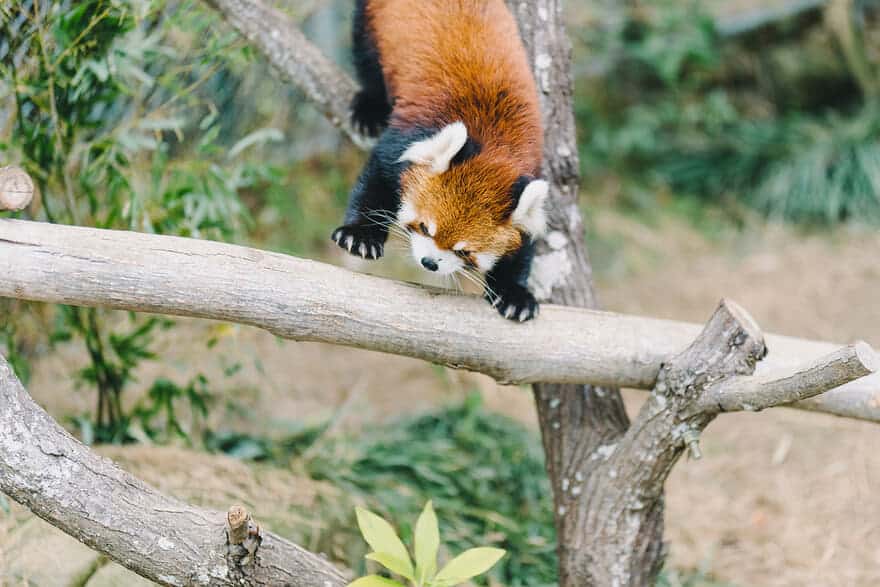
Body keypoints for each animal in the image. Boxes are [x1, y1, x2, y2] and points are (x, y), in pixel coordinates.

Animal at [332, 0, 548, 322]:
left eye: (464, 252)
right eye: (424, 227)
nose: (429, 262)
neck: (494, 146)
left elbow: (524, 240)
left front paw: (514, 292)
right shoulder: (411, 134)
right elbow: (376, 179)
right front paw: (360, 236)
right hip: (373, 22)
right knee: (367, 61)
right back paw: (369, 107)